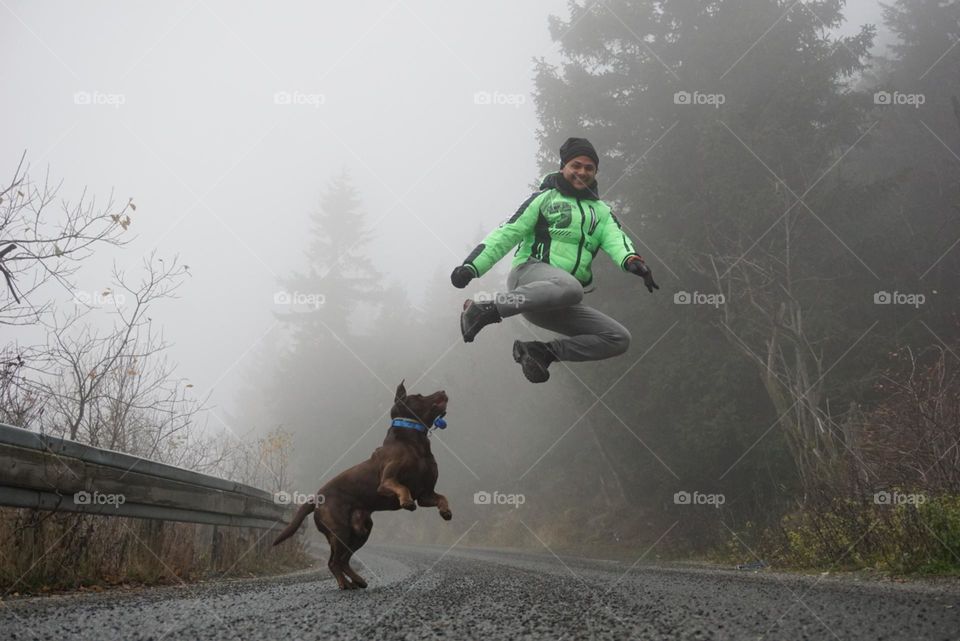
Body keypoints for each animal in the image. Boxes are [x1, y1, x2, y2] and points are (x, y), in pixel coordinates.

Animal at [270, 380, 450, 592]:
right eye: (420, 396)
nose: (443, 390)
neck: (414, 442)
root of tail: (316, 499)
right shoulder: (387, 482)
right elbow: (402, 488)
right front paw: (406, 502)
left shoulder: (425, 494)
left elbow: (442, 497)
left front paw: (446, 511)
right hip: (340, 531)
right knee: (334, 562)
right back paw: (344, 584)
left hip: (361, 531)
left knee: (343, 560)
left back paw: (357, 581)